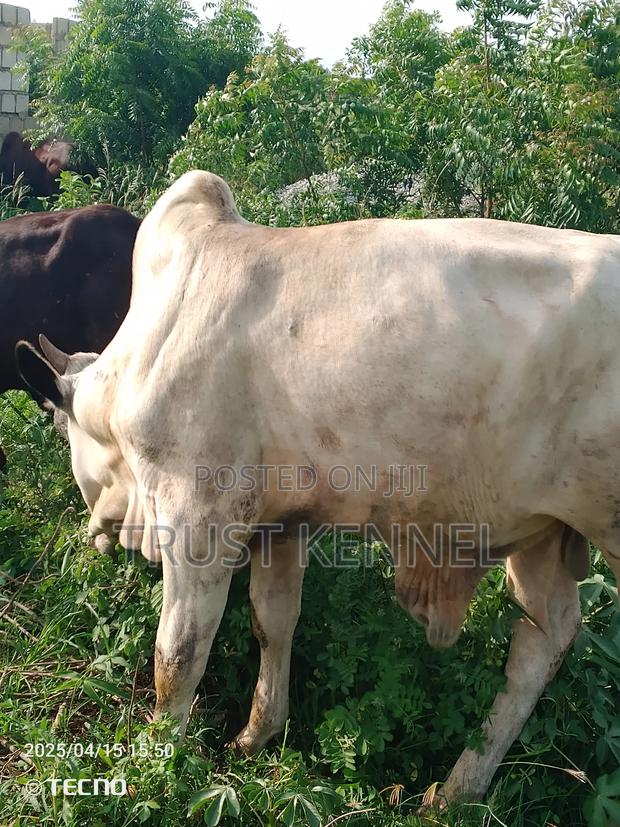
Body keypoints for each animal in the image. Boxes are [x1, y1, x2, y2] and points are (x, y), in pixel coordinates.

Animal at [15, 170, 620, 805]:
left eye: (60, 428)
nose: (95, 532)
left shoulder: (196, 522)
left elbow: (178, 655)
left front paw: (160, 764)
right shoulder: (282, 524)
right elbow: (274, 619)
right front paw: (258, 734)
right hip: (545, 534)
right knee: (541, 643)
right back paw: (456, 791)